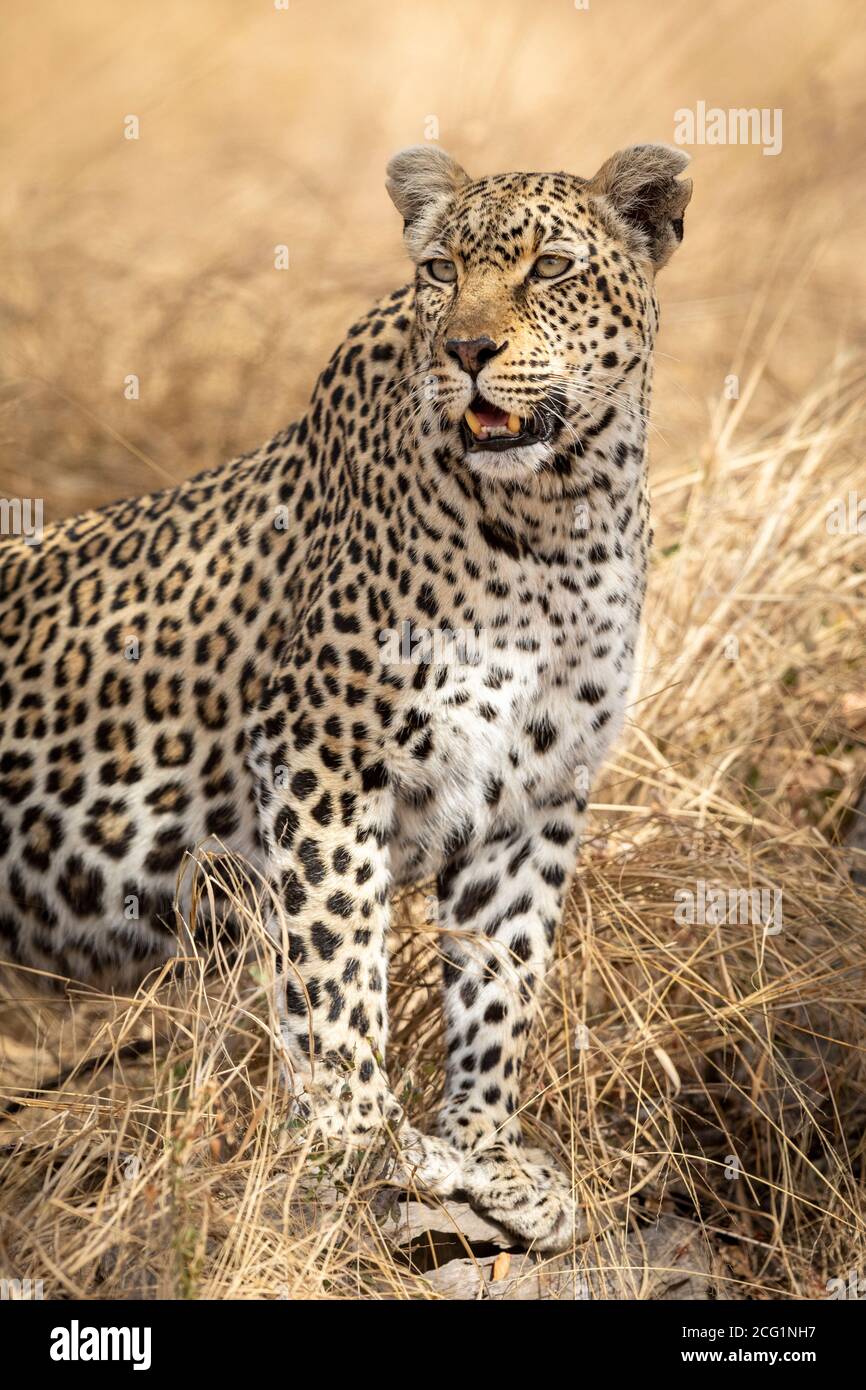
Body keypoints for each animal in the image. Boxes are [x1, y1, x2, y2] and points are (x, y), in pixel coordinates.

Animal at [0, 146, 692, 1256]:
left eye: (547, 267)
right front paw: (360, 1136)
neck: (557, 514)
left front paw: (487, 1154)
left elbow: (503, 978)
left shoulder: (537, 793)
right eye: (442, 270)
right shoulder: (322, 753)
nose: (467, 349)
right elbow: (335, 959)